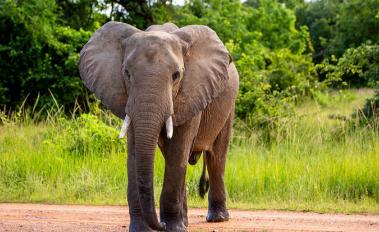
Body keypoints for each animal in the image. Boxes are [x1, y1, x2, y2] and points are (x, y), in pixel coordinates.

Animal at [79, 20, 240, 231]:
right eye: (126, 73)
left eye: (176, 75)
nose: (160, 224)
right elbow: (135, 152)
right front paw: (141, 229)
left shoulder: (192, 92)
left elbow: (178, 151)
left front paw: (173, 228)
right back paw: (186, 221)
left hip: (229, 105)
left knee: (216, 158)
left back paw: (217, 219)